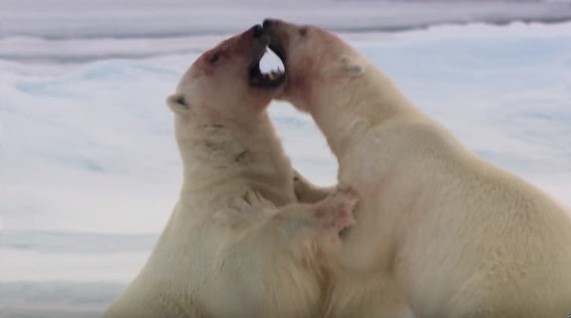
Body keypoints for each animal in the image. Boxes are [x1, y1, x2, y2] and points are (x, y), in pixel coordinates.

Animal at [102, 25, 358, 318]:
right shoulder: (215, 236)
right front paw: (335, 206)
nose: (258, 28)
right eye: (214, 56)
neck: (228, 171)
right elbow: (253, 262)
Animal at [264, 19, 571, 318]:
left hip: (497, 291)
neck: (371, 122)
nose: (267, 22)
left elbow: (364, 254)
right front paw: (299, 181)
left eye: (302, 31)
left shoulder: (384, 181)